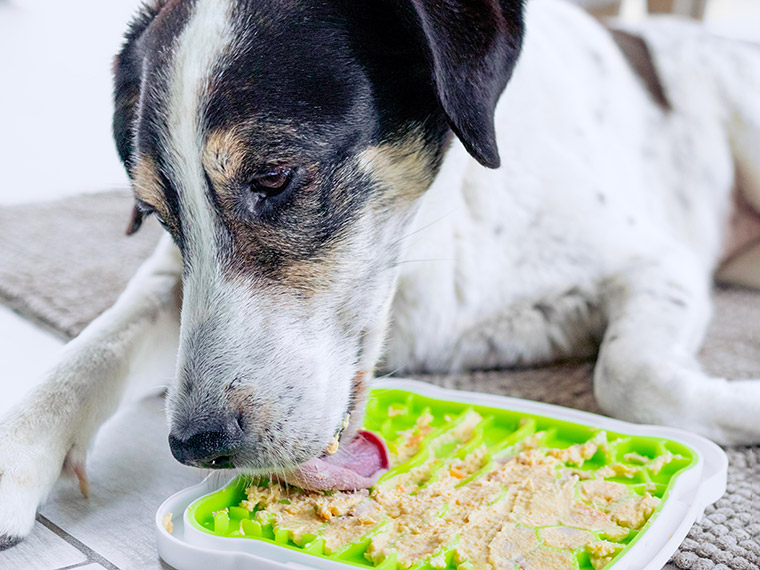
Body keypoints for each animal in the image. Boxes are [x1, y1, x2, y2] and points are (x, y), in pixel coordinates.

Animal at [1, 0, 760, 544]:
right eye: (158, 213)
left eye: (274, 176)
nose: (197, 445)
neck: (437, 225)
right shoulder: (170, 282)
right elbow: (91, 350)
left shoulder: (655, 264)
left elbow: (629, 377)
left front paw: (742, 404)